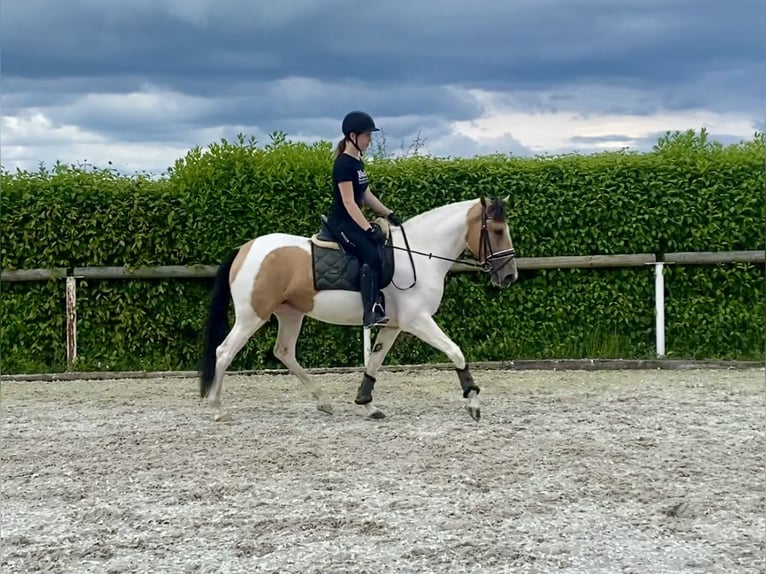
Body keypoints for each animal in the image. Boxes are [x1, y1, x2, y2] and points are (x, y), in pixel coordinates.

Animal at [200, 196, 520, 426]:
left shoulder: (393, 325)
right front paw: (473, 402)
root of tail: (244, 249)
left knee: (284, 352)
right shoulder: (418, 320)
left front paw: (367, 404)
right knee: (224, 352)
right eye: (497, 231)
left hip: (291, 314)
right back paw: (217, 409)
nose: (509, 276)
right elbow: (456, 352)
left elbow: (374, 361)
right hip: (251, 316)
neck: (419, 254)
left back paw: (323, 400)